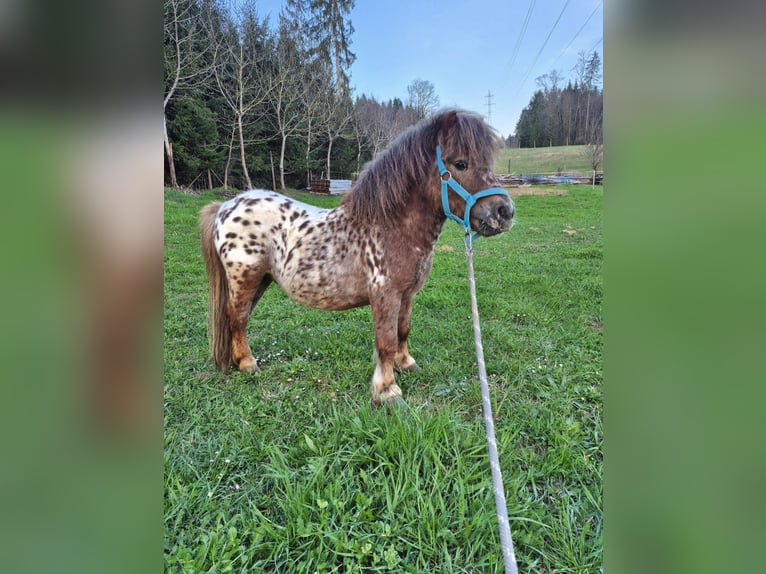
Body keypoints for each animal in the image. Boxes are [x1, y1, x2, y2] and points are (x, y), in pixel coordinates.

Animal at [199, 109, 515, 404]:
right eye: (461, 163)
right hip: (245, 279)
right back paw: (248, 364)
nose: (505, 212)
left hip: (261, 280)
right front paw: (387, 390)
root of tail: (226, 206)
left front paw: (405, 364)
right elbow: (385, 341)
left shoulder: (407, 295)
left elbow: (403, 330)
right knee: (236, 317)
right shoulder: (385, 296)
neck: (392, 226)